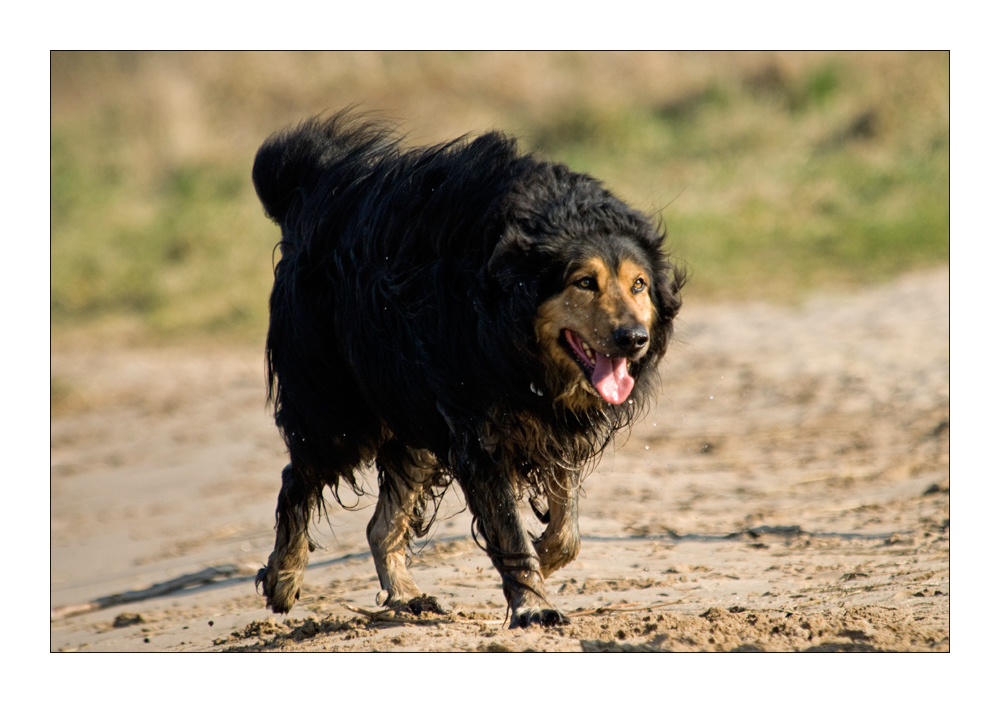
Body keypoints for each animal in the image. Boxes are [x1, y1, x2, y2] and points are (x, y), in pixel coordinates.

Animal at [254, 113, 684, 628]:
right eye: (585, 283)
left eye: (638, 285)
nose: (634, 339)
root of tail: (307, 198)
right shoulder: (481, 428)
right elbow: (508, 526)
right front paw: (533, 604)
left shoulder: (551, 423)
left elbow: (567, 529)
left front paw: (546, 555)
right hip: (337, 406)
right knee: (296, 479)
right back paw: (284, 577)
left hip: (412, 417)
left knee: (379, 524)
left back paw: (405, 595)